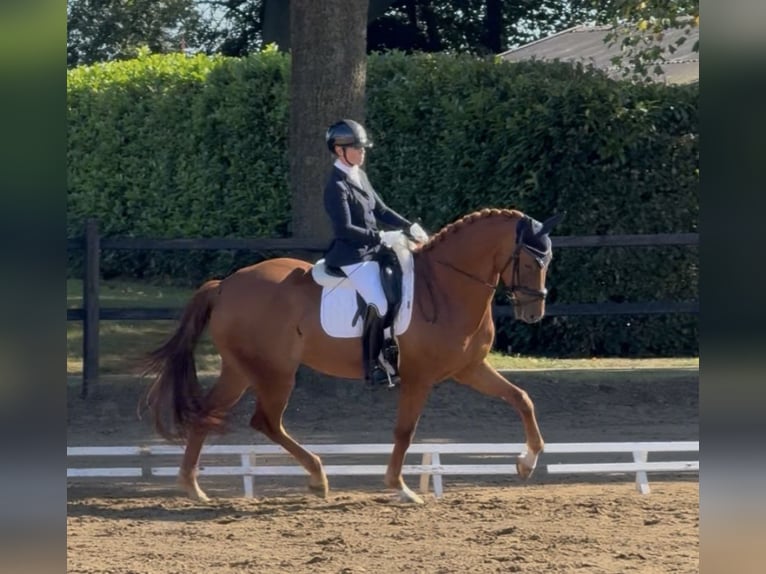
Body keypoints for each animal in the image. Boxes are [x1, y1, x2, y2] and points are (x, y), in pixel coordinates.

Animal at [143, 208, 563, 503]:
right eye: (531, 261)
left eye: (548, 261)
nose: (533, 313)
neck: (447, 285)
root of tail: (225, 285)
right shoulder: (419, 376)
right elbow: (405, 430)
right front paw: (399, 487)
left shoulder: (469, 368)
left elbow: (521, 398)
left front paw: (527, 462)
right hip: (275, 372)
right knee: (265, 421)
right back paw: (317, 478)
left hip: (240, 370)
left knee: (208, 413)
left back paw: (193, 487)